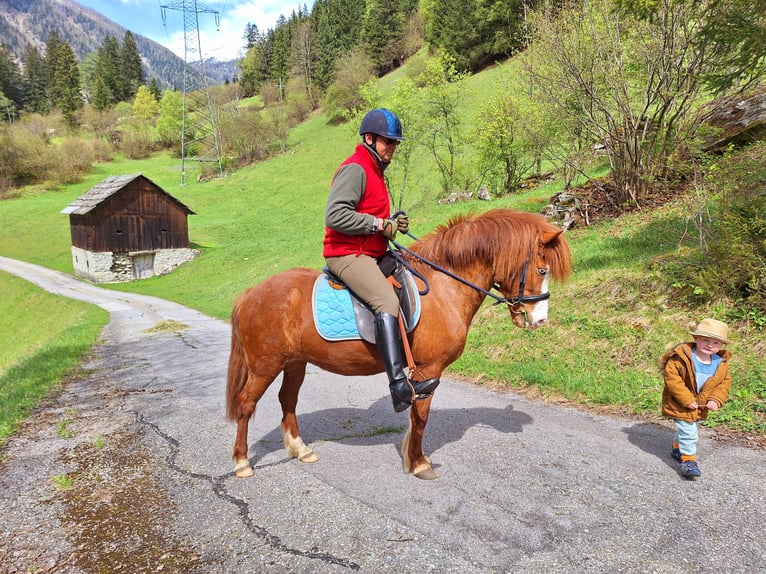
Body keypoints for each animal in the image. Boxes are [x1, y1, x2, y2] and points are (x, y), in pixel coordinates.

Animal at [225, 209, 572, 480]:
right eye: (542, 269)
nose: (540, 319)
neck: (445, 286)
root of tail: (249, 293)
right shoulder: (428, 371)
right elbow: (420, 417)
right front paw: (418, 463)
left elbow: (416, 418)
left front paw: (414, 457)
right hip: (265, 365)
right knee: (246, 404)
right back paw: (242, 463)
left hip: (294, 362)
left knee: (287, 401)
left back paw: (300, 449)